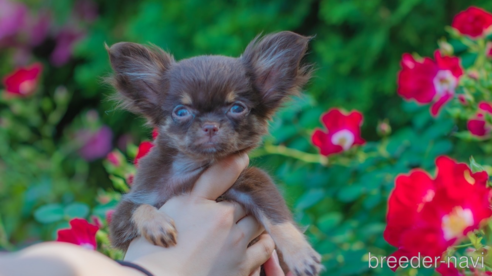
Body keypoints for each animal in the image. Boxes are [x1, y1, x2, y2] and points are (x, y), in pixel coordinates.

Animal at [107, 31, 320, 274]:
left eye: (237, 108)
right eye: (181, 112)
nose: (210, 125)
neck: (194, 167)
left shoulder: (255, 183)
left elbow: (278, 219)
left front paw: (300, 254)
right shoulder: (125, 216)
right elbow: (139, 208)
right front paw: (157, 224)